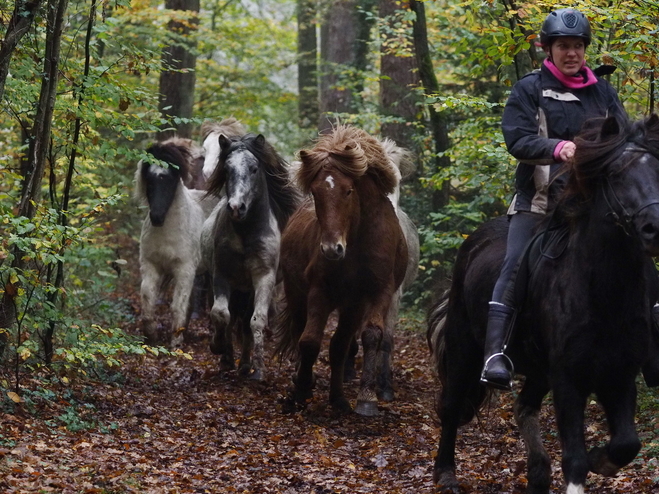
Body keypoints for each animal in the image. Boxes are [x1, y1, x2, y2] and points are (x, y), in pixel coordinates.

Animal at [276, 125, 410, 414]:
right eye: (316, 192)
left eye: (349, 191)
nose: (331, 249)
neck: (357, 240)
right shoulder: (320, 291)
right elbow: (310, 341)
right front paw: (300, 390)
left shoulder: (375, 293)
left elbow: (367, 336)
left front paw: (362, 399)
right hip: (296, 293)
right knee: (300, 330)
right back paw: (302, 380)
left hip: (351, 305)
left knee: (340, 344)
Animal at [430, 114, 659, 492]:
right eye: (615, 174)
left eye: (658, 168)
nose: (654, 226)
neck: (603, 292)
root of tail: (472, 243)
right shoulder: (568, 378)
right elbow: (575, 459)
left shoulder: (620, 373)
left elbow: (627, 443)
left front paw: (601, 459)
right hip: (465, 347)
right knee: (451, 406)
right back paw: (446, 473)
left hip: (538, 369)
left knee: (524, 406)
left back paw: (537, 473)